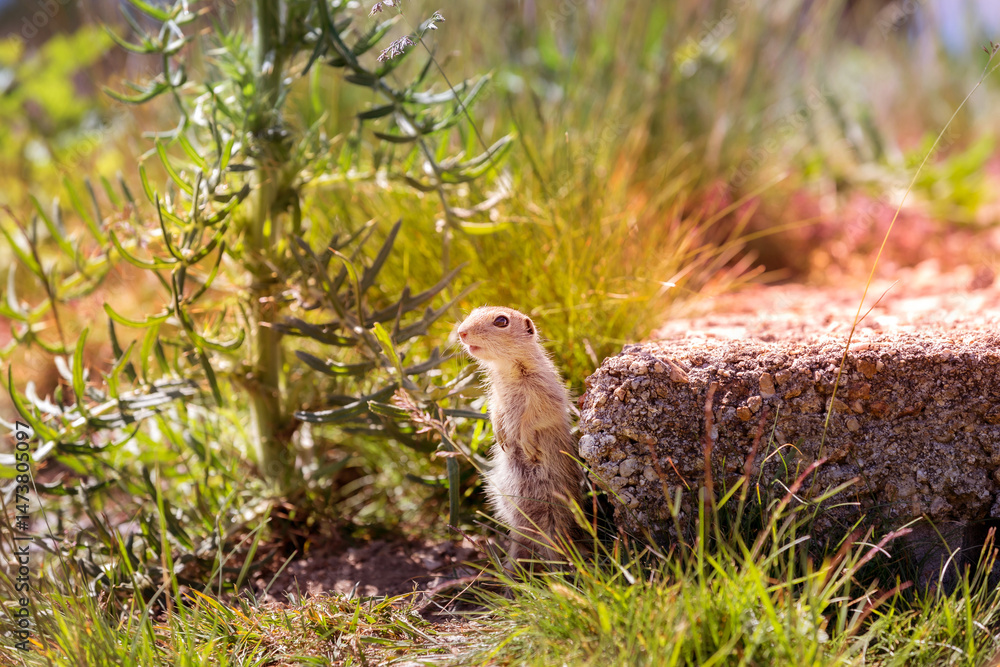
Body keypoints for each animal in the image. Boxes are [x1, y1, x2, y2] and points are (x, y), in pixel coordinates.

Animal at [457, 306, 584, 566]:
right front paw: (500, 436)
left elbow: (534, 418)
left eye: (501, 321)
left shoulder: (544, 392)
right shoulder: (495, 396)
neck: (507, 370)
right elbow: (495, 411)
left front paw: (526, 444)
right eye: (474, 311)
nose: (461, 332)